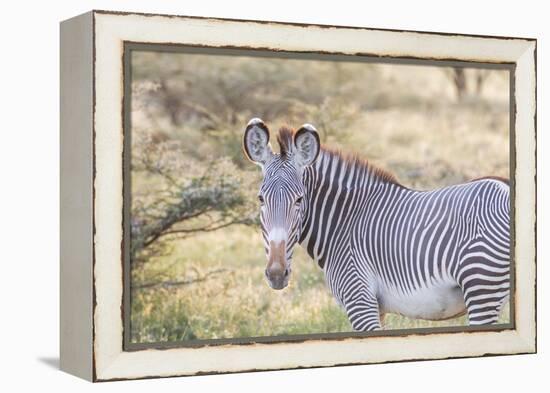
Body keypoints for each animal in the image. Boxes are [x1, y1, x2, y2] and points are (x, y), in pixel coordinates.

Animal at [244, 117, 512, 330]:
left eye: (299, 199)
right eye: (260, 199)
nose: (276, 274)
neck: (344, 222)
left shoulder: (359, 299)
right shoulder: (377, 307)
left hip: (482, 288)